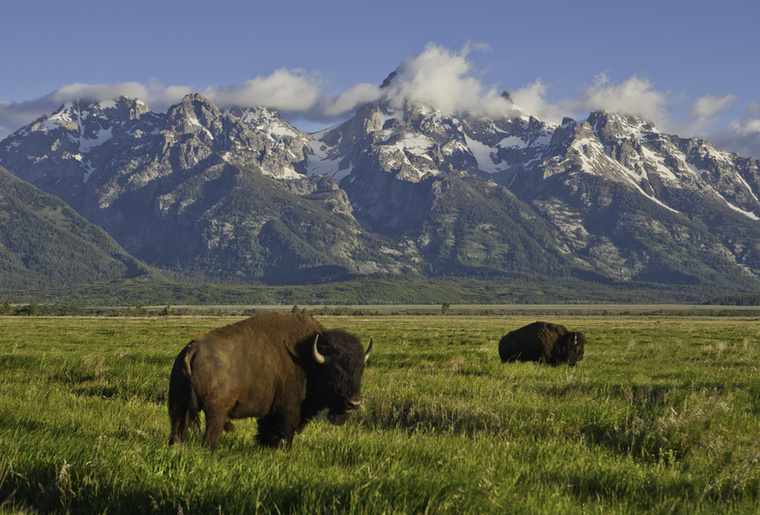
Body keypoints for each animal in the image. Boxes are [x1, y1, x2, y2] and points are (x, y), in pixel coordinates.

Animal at [168, 312, 372, 450]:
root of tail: (192, 348)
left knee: (177, 431)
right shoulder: (289, 410)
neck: (309, 359)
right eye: (336, 371)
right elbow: (286, 432)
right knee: (210, 436)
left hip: (179, 405)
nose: (353, 403)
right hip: (215, 410)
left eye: (360, 369)